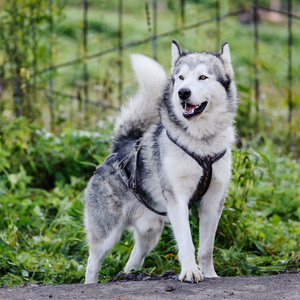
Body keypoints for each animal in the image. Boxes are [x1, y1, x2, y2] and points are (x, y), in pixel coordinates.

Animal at [84, 40, 237, 284]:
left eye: (203, 77)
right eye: (181, 77)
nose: (183, 92)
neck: (201, 145)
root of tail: (119, 148)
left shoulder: (213, 201)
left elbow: (206, 248)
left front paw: (210, 274)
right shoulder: (177, 198)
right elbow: (186, 241)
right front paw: (190, 272)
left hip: (149, 233)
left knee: (132, 261)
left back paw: (130, 276)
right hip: (107, 233)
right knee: (92, 264)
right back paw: (91, 283)